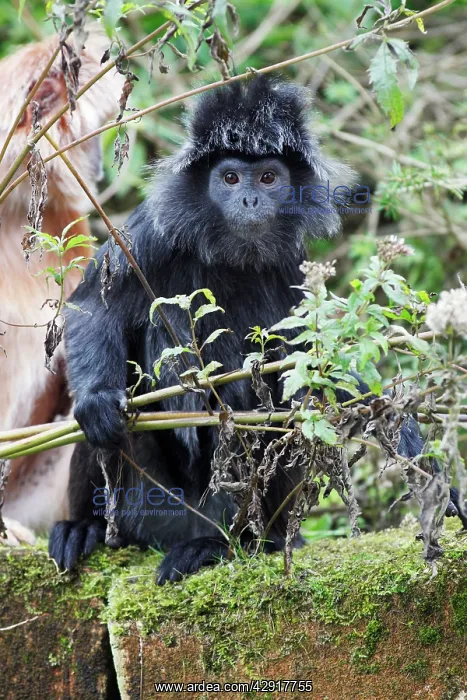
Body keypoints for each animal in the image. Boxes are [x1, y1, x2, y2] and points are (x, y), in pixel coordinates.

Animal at [48, 76, 466, 583]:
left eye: (268, 178)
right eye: (230, 178)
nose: (249, 199)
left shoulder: (289, 269)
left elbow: (317, 372)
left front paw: (434, 479)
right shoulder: (149, 234)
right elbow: (93, 306)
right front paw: (95, 401)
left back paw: (224, 545)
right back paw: (84, 527)